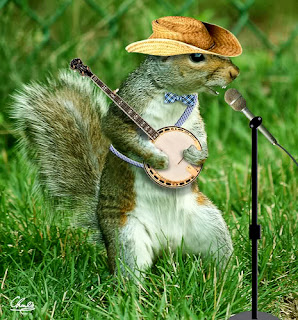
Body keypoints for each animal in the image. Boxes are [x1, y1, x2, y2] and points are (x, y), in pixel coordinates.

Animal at [11, 16, 242, 278]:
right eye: (196, 57)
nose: (234, 73)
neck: (172, 93)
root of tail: (167, 245)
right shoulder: (127, 106)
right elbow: (117, 131)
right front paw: (158, 159)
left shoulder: (193, 118)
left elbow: (200, 135)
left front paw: (199, 155)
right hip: (127, 237)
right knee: (130, 274)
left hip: (211, 225)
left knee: (220, 256)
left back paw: (229, 279)